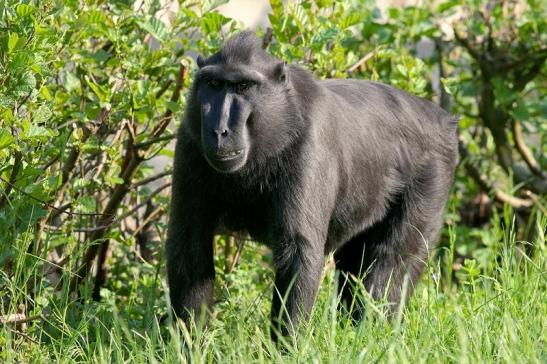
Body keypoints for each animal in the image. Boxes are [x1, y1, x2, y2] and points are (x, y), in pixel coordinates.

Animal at [166, 31, 458, 342]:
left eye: (243, 86)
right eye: (214, 84)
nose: (219, 131)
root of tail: (440, 116)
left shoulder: (310, 145)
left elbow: (299, 253)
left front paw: (287, 346)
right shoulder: (190, 140)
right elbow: (190, 244)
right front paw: (189, 344)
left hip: (433, 172)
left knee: (393, 261)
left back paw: (371, 334)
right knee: (355, 263)